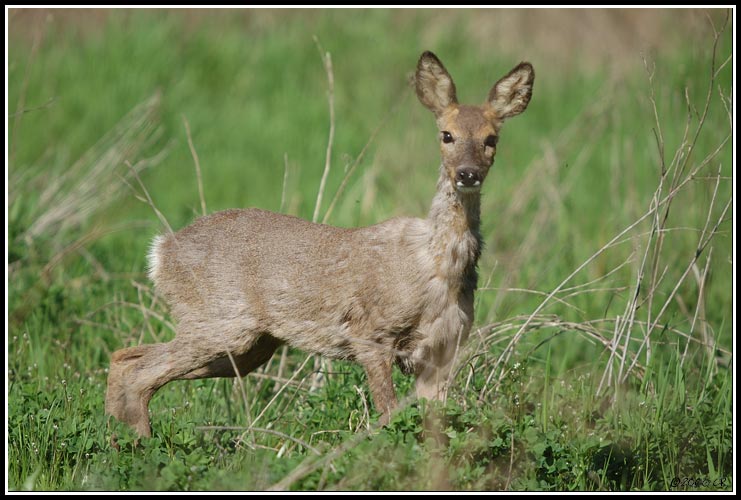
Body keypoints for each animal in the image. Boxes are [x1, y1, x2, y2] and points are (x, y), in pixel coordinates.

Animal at [105, 48, 532, 436]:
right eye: (447, 135)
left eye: (491, 139)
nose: (467, 173)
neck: (436, 265)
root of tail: (161, 251)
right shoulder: (369, 333)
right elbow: (388, 418)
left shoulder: (442, 351)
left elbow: (435, 431)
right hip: (218, 321)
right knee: (138, 370)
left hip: (248, 346)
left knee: (126, 358)